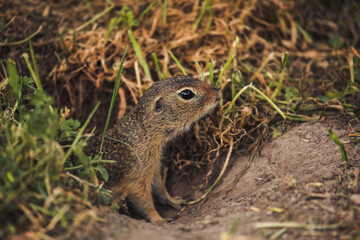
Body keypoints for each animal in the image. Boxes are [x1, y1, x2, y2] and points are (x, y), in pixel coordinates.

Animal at [100, 75, 221, 223]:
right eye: (186, 94)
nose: (217, 93)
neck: (146, 131)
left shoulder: (155, 167)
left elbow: (159, 187)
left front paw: (173, 200)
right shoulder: (137, 176)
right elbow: (144, 201)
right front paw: (159, 219)